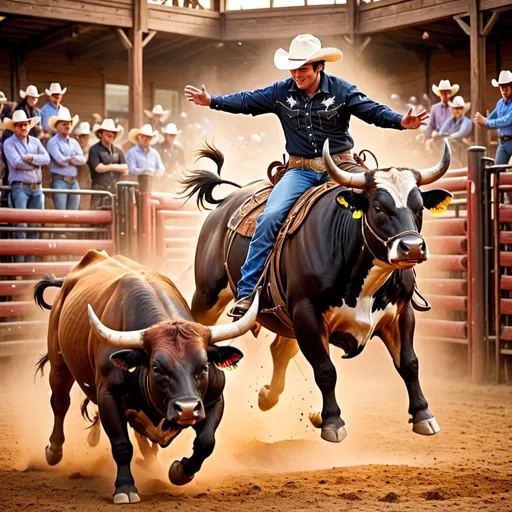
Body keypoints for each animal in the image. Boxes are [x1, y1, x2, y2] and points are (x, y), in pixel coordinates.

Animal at [35, 250, 260, 506]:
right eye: (156, 368)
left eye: (204, 366)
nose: (187, 409)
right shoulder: (108, 397)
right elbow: (122, 446)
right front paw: (125, 487)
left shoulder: (213, 399)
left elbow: (205, 442)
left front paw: (180, 471)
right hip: (59, 364)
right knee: (60, 402)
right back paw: (53, 451)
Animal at [181, 140, 452, 444]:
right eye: (378, 208)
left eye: (419, 207)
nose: (412, 248)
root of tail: (225, 205)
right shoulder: (307, 313)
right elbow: (325, 370)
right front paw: (333, 422)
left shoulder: (401, 313)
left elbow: (409, 362)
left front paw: (423, 414)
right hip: (207, 296)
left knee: (280, 350)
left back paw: (267, 397)